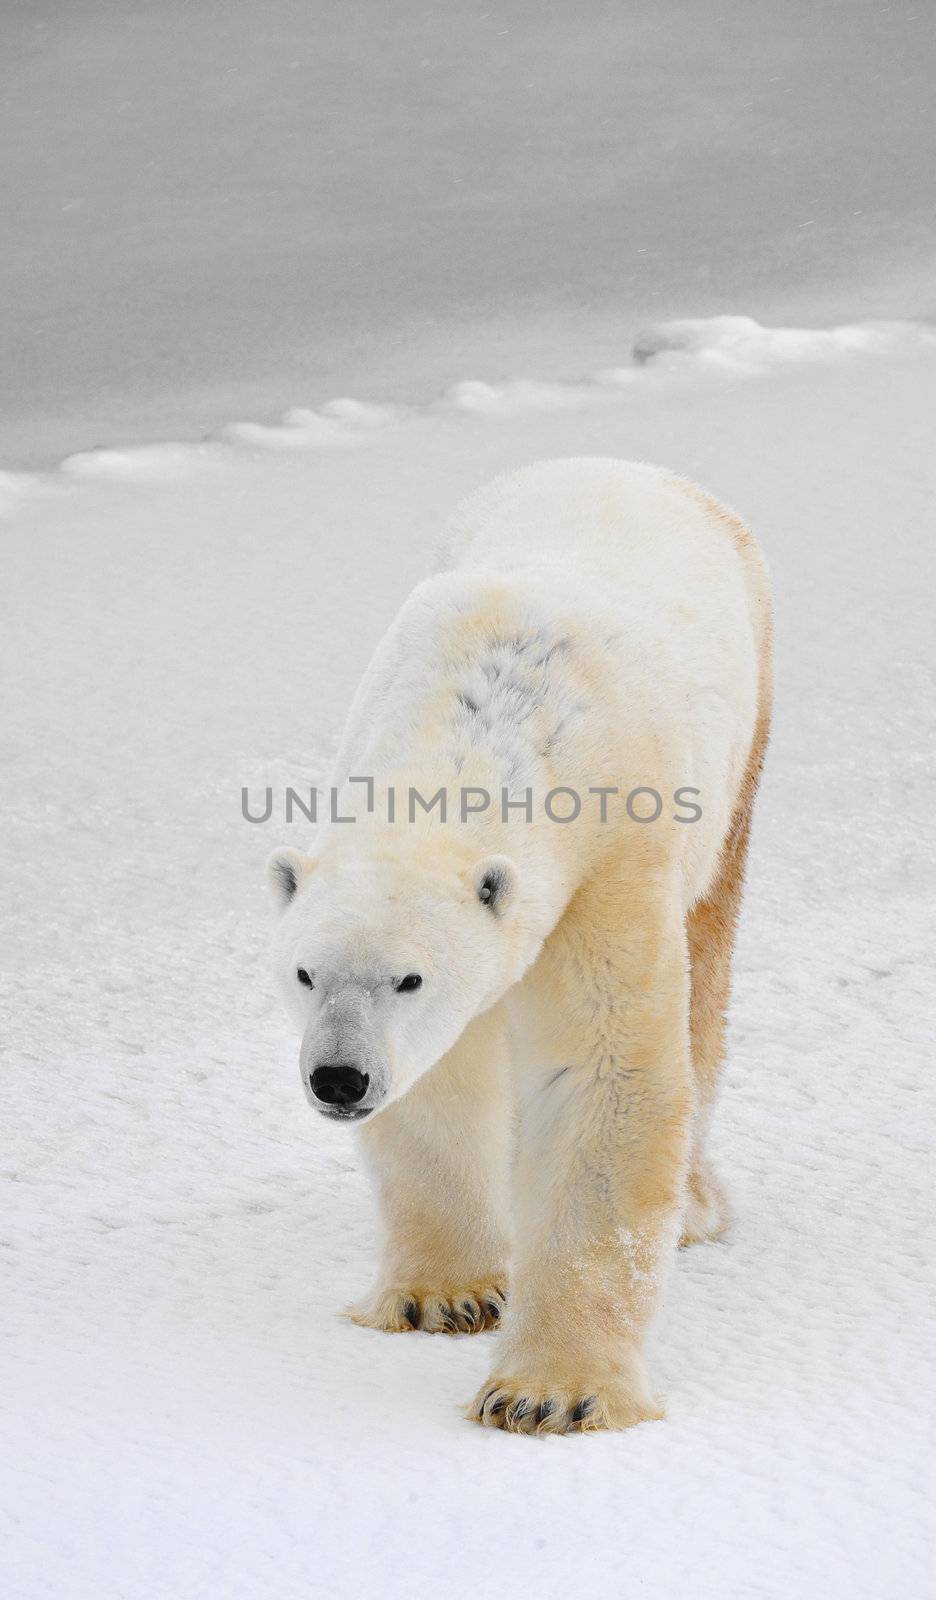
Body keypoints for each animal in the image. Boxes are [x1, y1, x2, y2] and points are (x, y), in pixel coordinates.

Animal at [267, 460, 771, 1440]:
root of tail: (626, 466)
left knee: (705, 972)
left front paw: (550, 1392)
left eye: (409, 978)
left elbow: (603, 1072)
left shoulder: (612, 860)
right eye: (304, 973)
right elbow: (441, 1078)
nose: (339, 1079)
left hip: (743, 743)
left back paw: (695, 1208)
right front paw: (445, 1296)